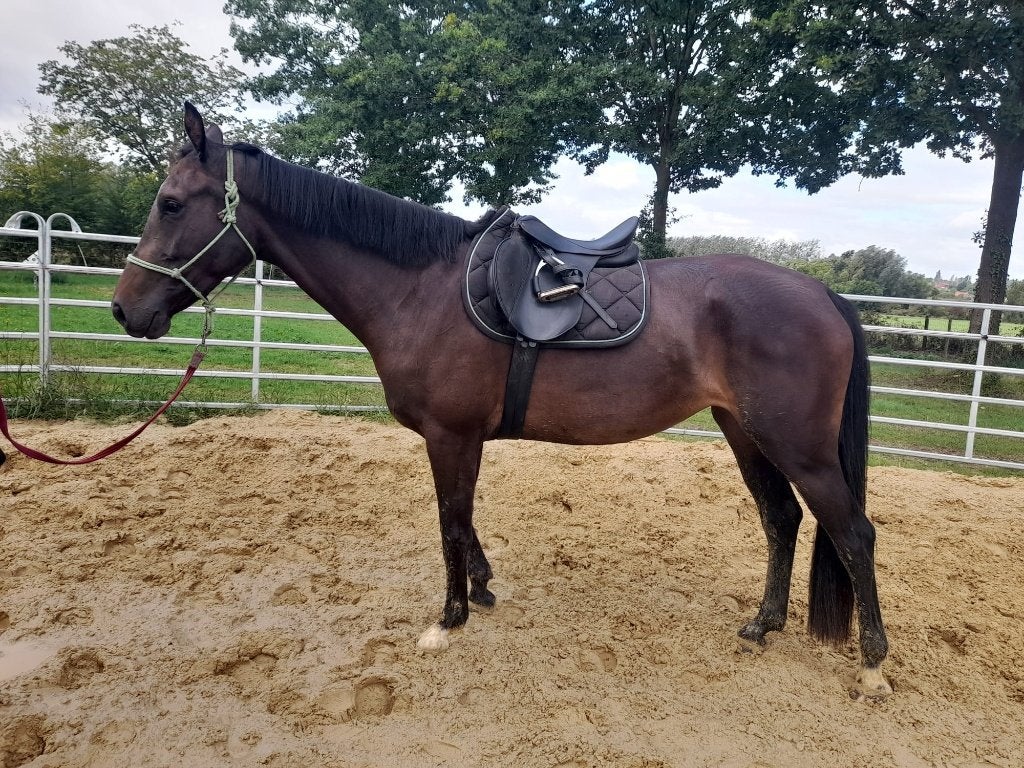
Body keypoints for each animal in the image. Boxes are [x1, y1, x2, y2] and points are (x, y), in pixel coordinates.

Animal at [112, 104, 890, 699]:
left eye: (171, 203)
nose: (125, 310)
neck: (419, 288)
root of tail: (822, 293)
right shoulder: (457, 438)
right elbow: (465, 520)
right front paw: (482, 591)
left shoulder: (449, 434)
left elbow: (451, 524)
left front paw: (449, 617)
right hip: (745, 431)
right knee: (782, 520)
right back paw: (763, 625)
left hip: (798, 446)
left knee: (853, 533)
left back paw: (874, 664)